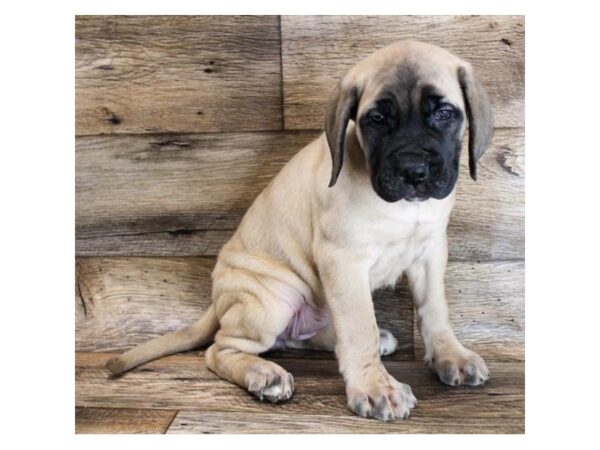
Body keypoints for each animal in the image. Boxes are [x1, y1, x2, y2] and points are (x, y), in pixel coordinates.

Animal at [106, 39, 492, 422]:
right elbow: (359, 327)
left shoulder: (430, 252)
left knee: (302, 337)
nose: (413, 170)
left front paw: (451, 356)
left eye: (444, 114)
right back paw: (264, 375)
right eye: (377, 120)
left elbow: (435, 310)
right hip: (273, 300)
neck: (405, 207)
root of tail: (218, 300)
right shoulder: (344, 260)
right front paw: (376, 387)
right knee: (221, 349)